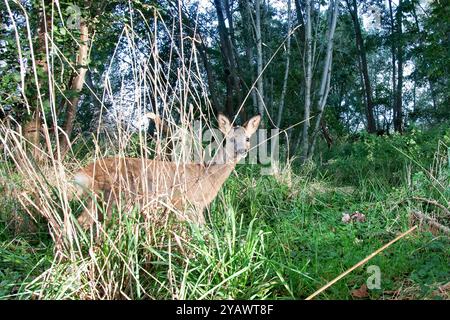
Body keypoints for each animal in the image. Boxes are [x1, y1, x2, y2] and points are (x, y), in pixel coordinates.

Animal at [73, 114, 260, 229]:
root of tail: (85, 172)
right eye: (230, 138)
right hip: (114, 198)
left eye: (248, 138)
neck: (208, 176)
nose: (242, 151)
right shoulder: (189, 203)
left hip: (99, 200)